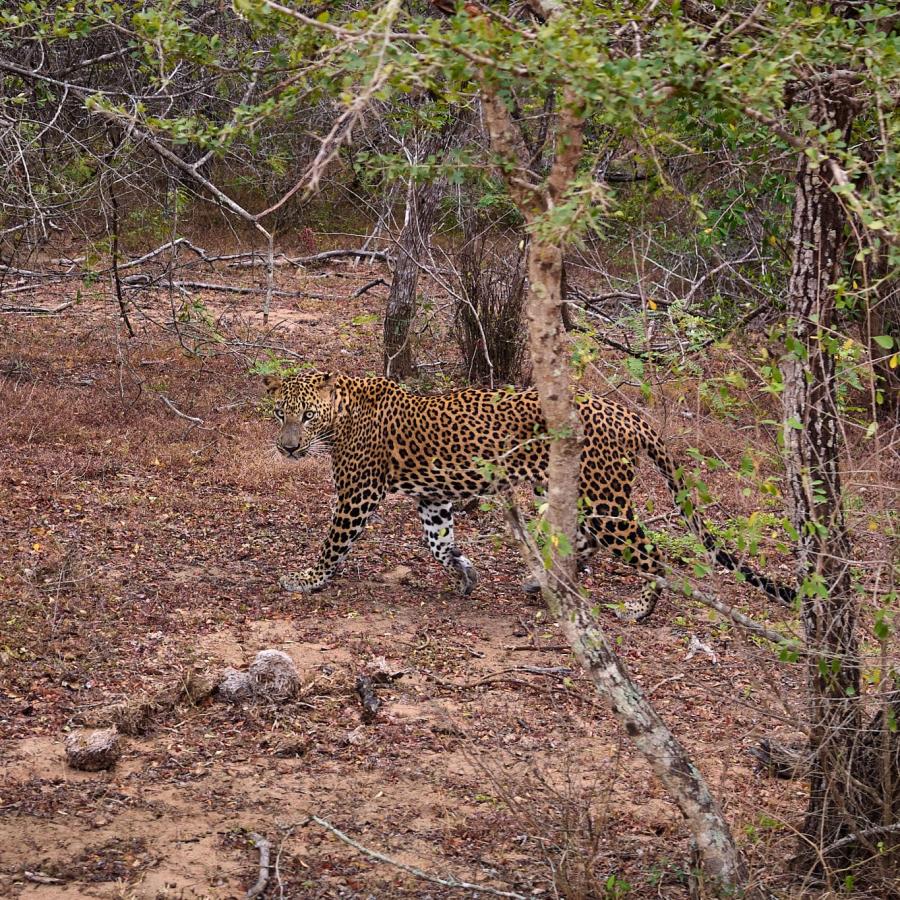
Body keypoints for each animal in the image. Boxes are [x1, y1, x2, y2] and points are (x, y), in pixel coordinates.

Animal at [262, 371, 795, 622]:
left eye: (306, 416)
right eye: (279, 413)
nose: (286, 448)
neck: (341, 414)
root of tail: (627, 414)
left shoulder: (358, 493)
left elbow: (333, 543)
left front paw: (306, 578)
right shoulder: (433, 496)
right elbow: (438, 542)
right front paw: (465, 574)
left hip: (606, 501)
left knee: (652, 553)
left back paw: (638, 609)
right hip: (570, 488)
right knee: (584, 538)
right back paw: (543, 580)